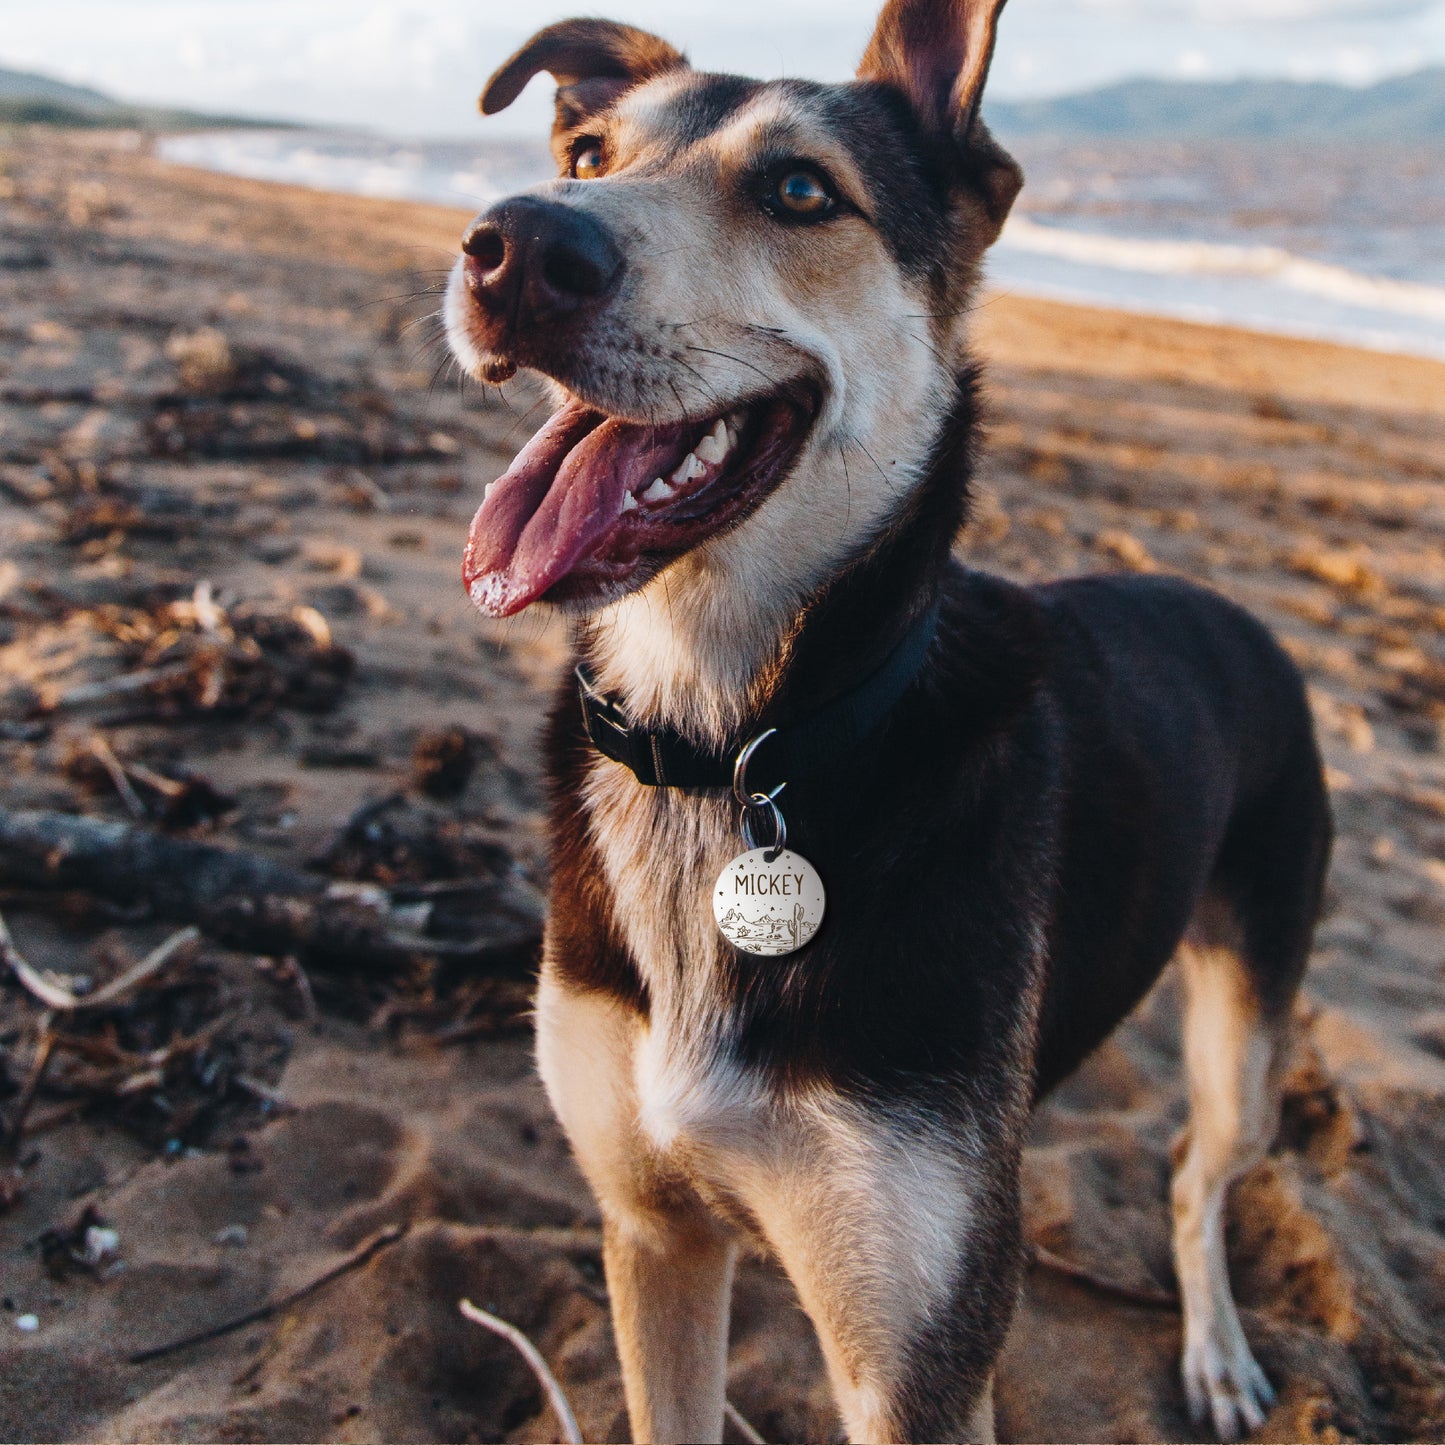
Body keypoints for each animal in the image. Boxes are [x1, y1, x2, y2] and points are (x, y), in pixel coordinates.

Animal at [442, 5, 1329, 1439]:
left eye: (802, 192)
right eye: (583, 155)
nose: (515, 246)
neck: (732, 743)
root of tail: (1237, 614)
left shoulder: (913, 1363)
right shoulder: (652, 1232)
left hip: (1252, 1008)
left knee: (1201, 1172)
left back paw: (1214, 1350)